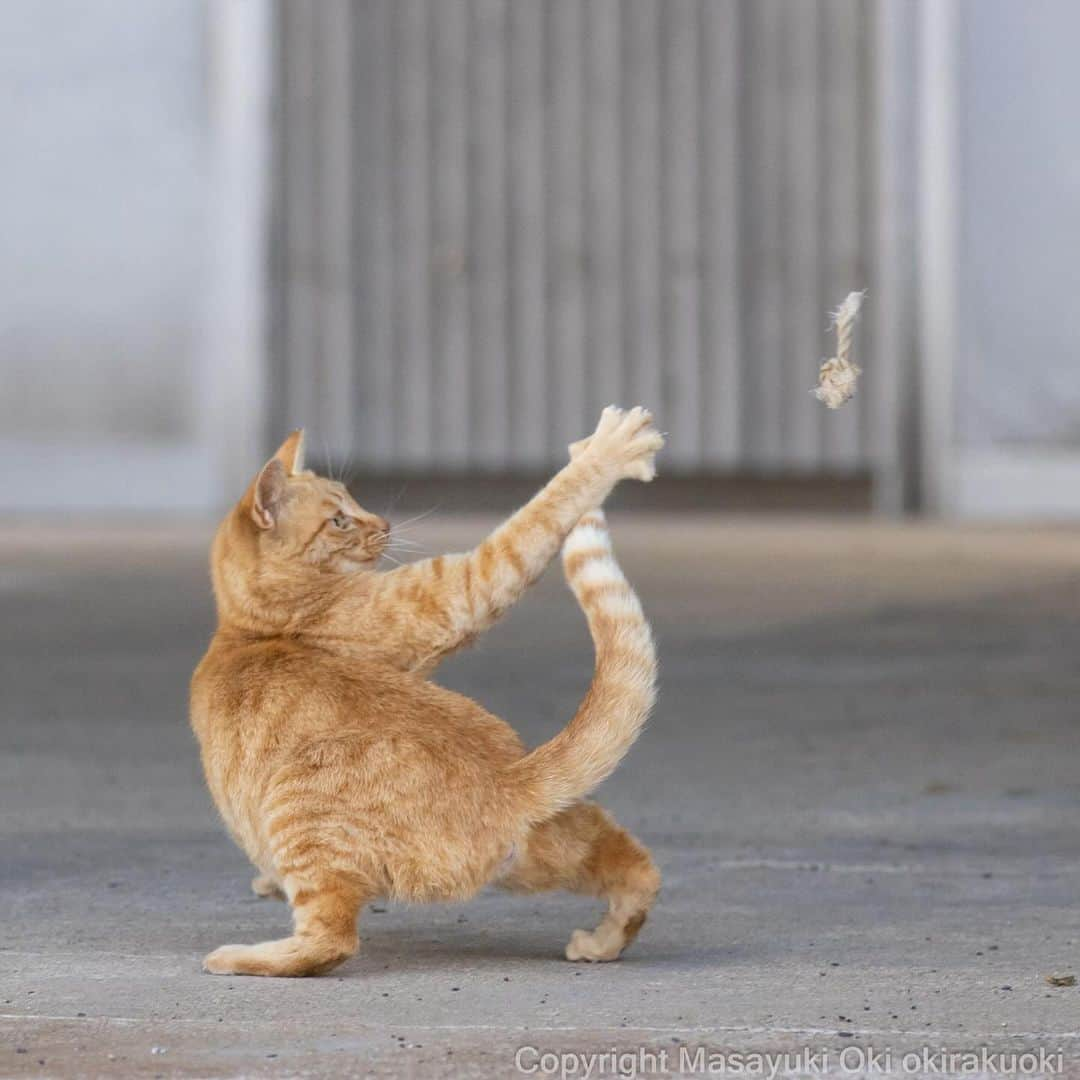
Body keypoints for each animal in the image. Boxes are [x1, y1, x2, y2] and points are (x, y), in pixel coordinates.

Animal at [193, 406, 660, 980]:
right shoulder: (449, 598)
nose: (384, 525)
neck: (246, 626)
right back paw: (602, 942)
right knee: (636, 866)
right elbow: (534, 520)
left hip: (301, 808)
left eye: (353, 502)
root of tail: (512, 782)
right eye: (339, 520)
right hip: (554, 845)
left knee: (331, 939)